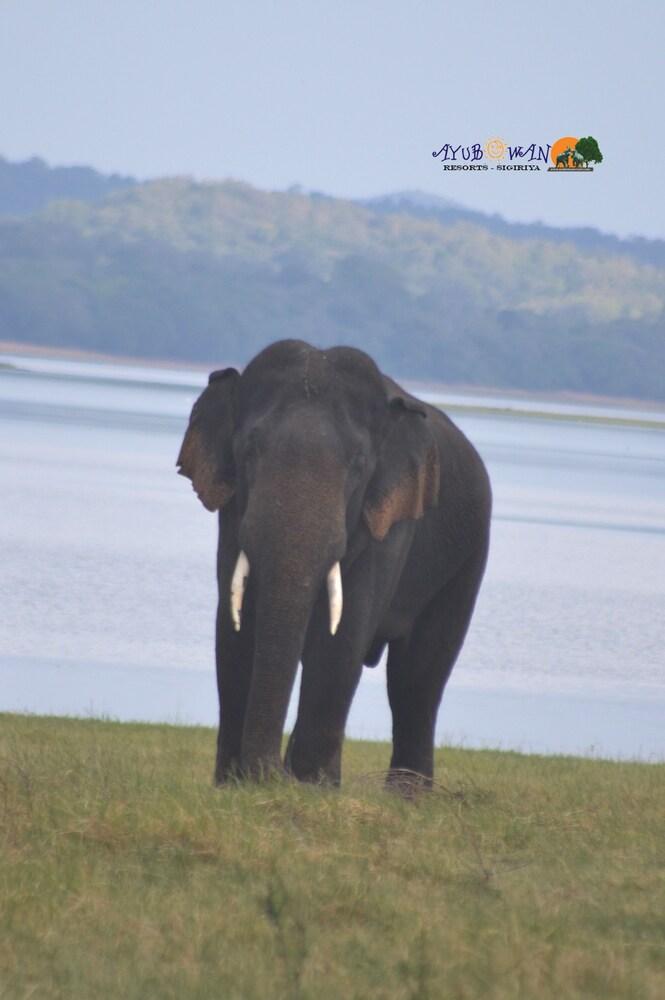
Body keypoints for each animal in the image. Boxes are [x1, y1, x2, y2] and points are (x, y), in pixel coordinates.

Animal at [176, 344, 492, 788]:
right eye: (249, 451)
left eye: (358, 464)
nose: (273, 775)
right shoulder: (232, 512)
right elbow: (235, 630)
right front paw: (233, 785)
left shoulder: (391, 523)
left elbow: (343, 636)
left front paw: (313, 787)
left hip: (467, 559)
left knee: (418, 677)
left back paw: (405, 796)